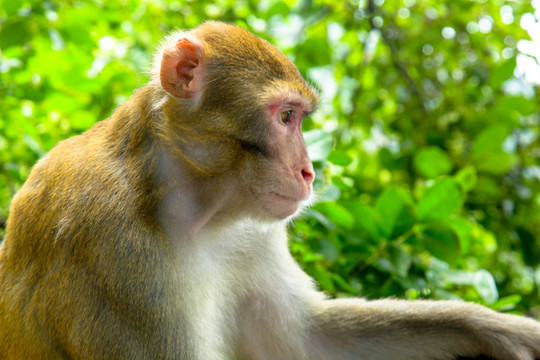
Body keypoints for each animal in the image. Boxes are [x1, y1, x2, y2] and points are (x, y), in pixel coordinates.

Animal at [0, 21, 536, 358]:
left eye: (300, 119)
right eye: (284, 118)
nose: (309, 171)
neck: (181, 201)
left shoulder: (249, 236)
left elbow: (309, 341)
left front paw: (499, 328)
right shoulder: (115, 253)